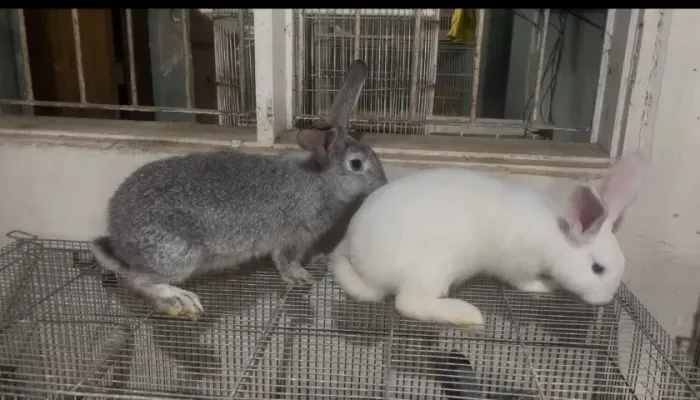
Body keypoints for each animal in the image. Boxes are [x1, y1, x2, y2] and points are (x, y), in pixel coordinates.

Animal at [90, 59, 388, 320]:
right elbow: (286, 263)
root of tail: (118, 235)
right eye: (356, 164)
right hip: (178, 254)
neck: (321, 180)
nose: (382, 183)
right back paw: (180, 300)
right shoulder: (292, 238)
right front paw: (301, 277)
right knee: (136, 281)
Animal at [329, 153, 648, 330]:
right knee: (406, 303)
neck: (557, 238)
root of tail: (364, 267)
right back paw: (467, 315)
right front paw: (546, 286)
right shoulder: (517, 265)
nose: (604, 300)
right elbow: (524, 282)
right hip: (433, 268)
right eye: (598, 268)